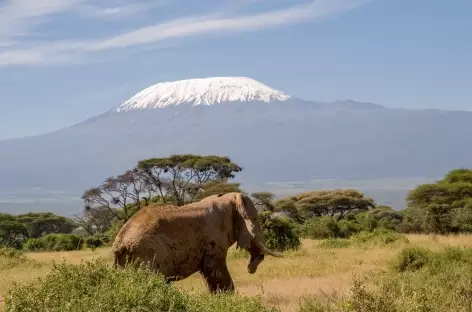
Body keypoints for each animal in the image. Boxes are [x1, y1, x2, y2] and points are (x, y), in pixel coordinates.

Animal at [110, 193, 282, 292]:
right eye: (255, 219)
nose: (250, 268)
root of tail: (119, 243)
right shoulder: (213, 239)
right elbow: (216, 271)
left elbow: (208, 273)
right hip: (146, 256)